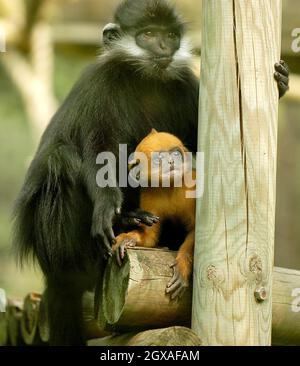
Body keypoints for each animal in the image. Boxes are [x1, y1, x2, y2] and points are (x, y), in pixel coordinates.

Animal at [113, 130, 196, 298]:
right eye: (159, 159)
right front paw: (128, 237)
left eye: (175, 154)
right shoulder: (149, 193)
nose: (171, 162)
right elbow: (150, 238)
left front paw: (182, 265)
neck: (170, 187)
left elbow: (196, 230)